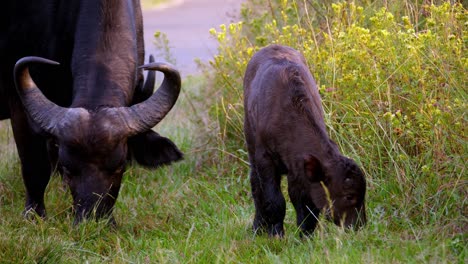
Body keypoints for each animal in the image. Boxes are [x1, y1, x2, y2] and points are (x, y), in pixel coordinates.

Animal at [0, 0, 183, 224]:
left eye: (120, 165)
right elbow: (35, 166)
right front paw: (35, 215)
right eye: (68, 168)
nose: (92, 220)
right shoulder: (18, 100)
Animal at [243, 44, 368, 236]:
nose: (360, 225)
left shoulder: (298, 169)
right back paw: (258, 227)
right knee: (256, 187)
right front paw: (276, 233)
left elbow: (306, 206)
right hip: (251, 144)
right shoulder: (265, 160)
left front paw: (305, 236)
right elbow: (274, 201)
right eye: (349, 195)